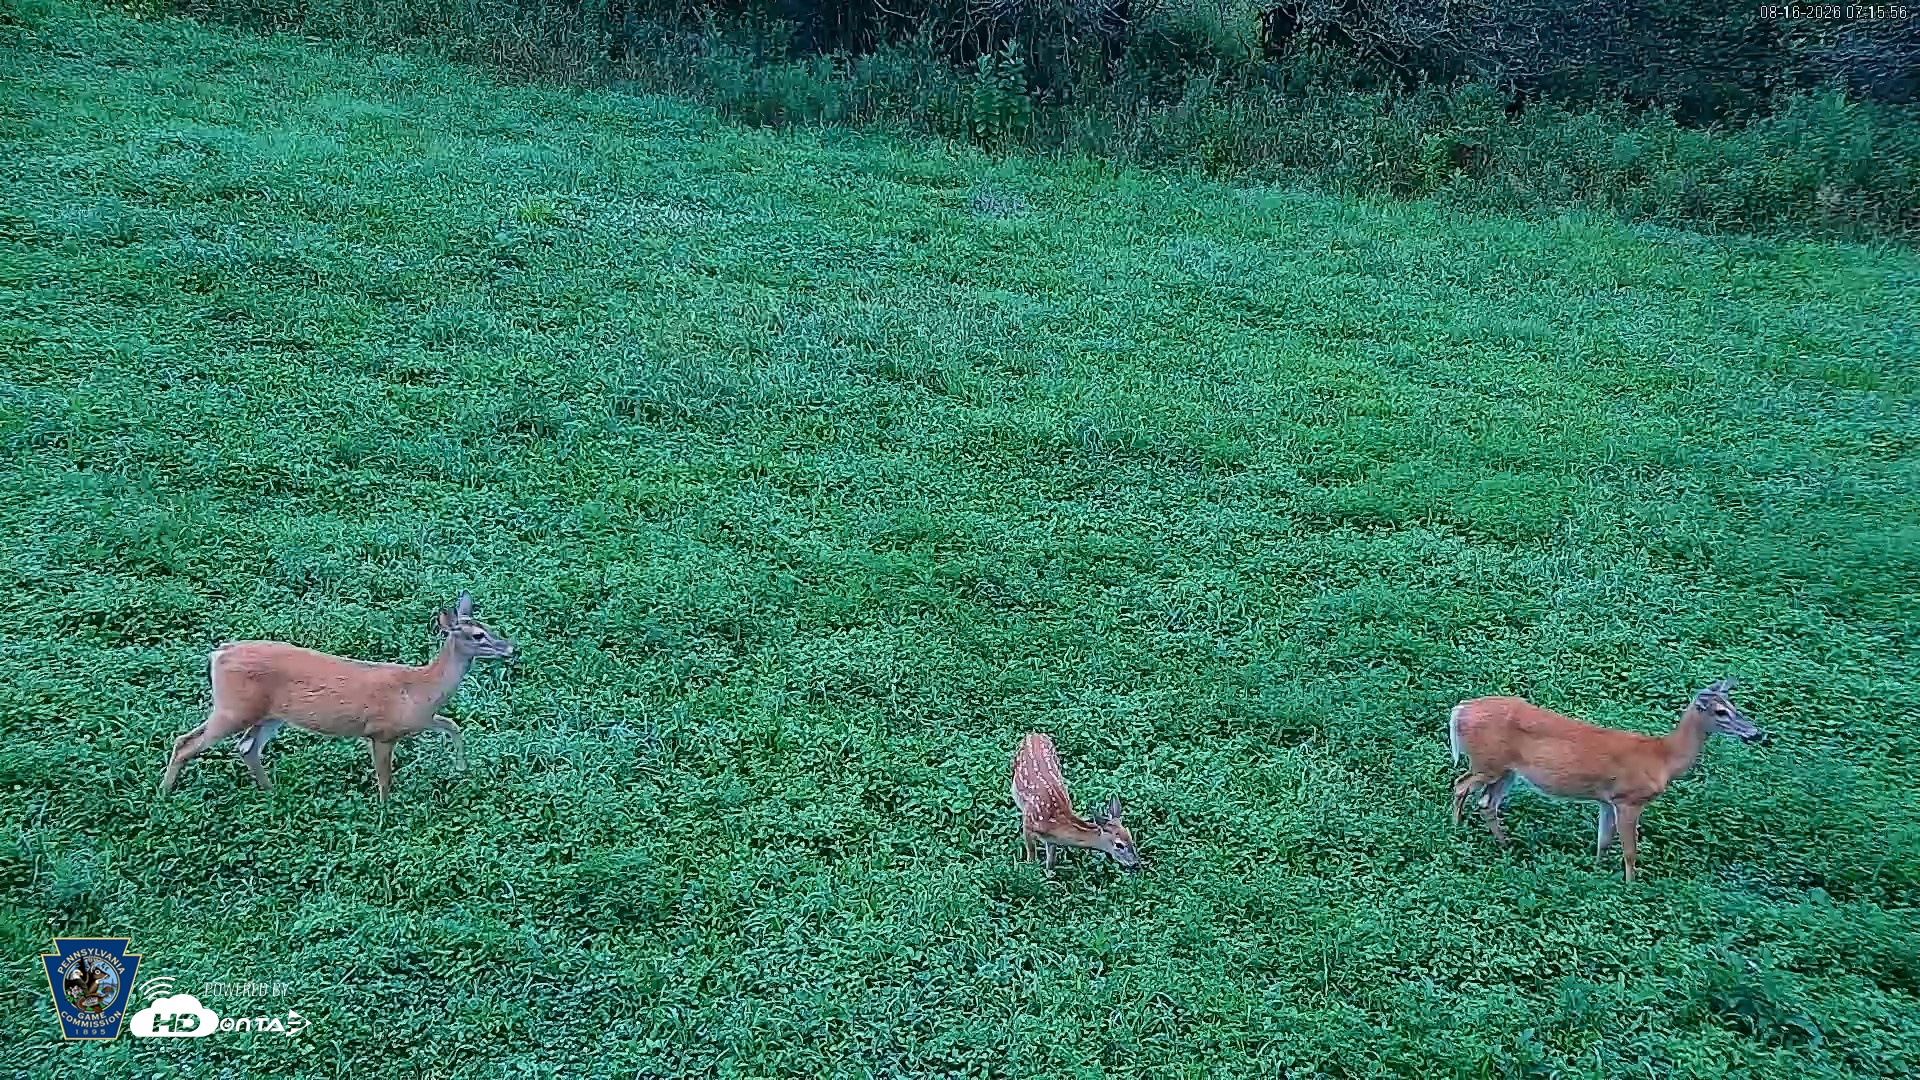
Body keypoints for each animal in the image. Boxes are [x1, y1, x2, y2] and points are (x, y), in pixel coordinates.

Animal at [160, 594, 515, 801]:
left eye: (489, 626)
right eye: (478, 635)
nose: (511, 648)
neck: (419, 689)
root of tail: (219, 653)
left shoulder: (419, 720)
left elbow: (453, 724)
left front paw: (461, 768)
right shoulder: (381, 731)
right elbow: (385, 778)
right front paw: (385, 814)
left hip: (268, 714)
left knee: (246, 747)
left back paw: (272, 793)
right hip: (233, 708)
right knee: (186, 742)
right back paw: (164, 795)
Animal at [1010, 732, 1140, 874]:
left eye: (1130, 837)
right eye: (1119, 844)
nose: (1135, 864)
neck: (1054, 821)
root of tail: (1034, 733)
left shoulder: (1052, 839)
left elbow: (1051, 861)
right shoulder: (1028, 824)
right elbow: (1031, 856)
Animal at [1448, 678, 1765, 881]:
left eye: (1734, 705)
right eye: (1721, 711)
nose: (1757, 733)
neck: (1663, 758)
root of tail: (1459, 710)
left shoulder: (1606, 799)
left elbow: (1603, 840)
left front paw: (1598, 871)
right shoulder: (1629, 799)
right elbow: (1630, 850)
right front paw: (1630, 887)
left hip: (1507, 771)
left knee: (1487, 802)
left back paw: (1506, 845)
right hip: (1488, 763)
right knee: (1461, 785)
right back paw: (1455, 831)